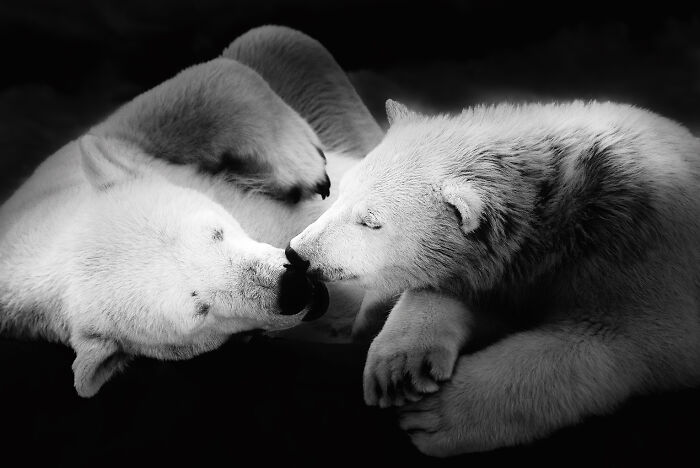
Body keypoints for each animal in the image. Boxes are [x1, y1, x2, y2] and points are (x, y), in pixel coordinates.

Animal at [0, 26, 382, 397]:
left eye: (217, 232)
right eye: (201, 310)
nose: (293, 289)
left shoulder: (64, 172)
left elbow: (203, 84)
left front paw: (305, 167)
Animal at [289, 99, 700, 455]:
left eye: (371, 221)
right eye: (340, 192)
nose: (298, 254)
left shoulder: (637, 252)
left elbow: (620, 340)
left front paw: (432, 416)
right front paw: (401, 368)